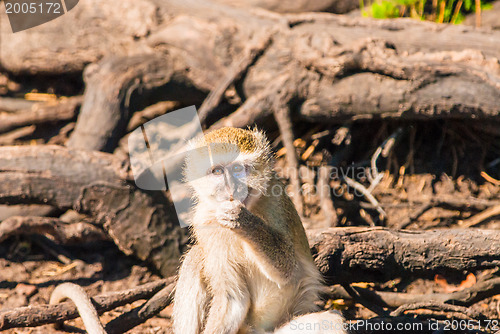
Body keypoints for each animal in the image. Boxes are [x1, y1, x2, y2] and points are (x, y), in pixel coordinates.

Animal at [172, 127, 344, 334]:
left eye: (238, 169)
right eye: (217, 171)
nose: (232, 188)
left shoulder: (276, 202)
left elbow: (287, 269)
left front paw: (242, 220)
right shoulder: (204, 220)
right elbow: (233, 298)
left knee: (330, 321)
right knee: (195, 257)